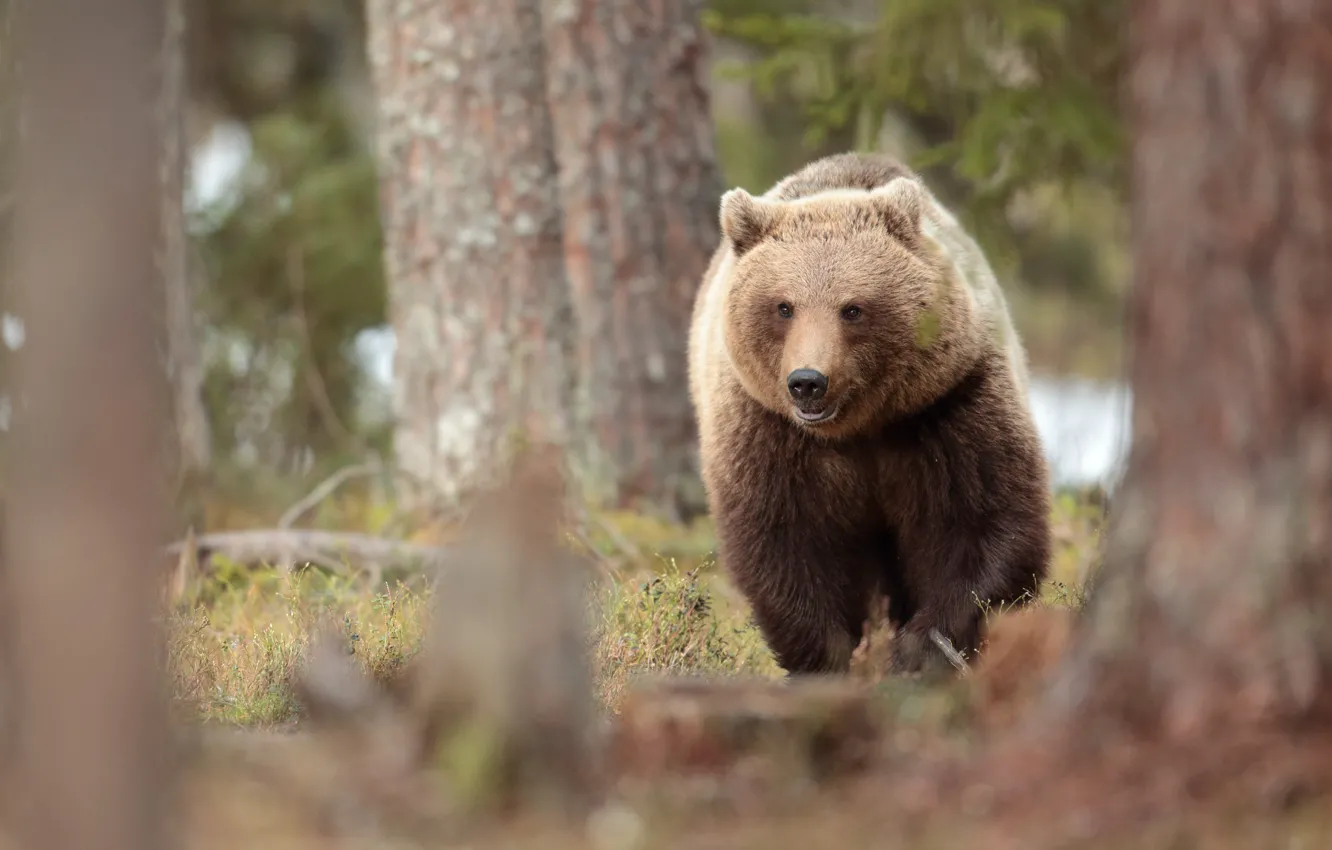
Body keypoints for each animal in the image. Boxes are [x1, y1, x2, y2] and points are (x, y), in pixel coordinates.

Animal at [687, 152, 1052, 677]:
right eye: (784, 306)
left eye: (852, 308)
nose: (807, 381)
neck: (859, 427)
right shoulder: (765, 429)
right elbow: (785, 545)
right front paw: (835, 659)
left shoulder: (948, 407)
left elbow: (982, 523)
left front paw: (918, 652)